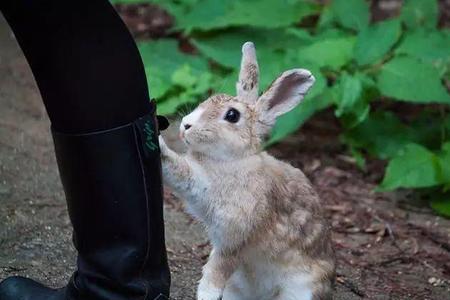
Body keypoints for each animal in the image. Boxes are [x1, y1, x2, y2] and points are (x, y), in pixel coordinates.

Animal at [158, 42, 334, 300]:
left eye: (232, 116)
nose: (185, 125)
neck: (235, 159)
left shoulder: (234, 235)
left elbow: (217, 269)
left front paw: (206, 294)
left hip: (302, 289)